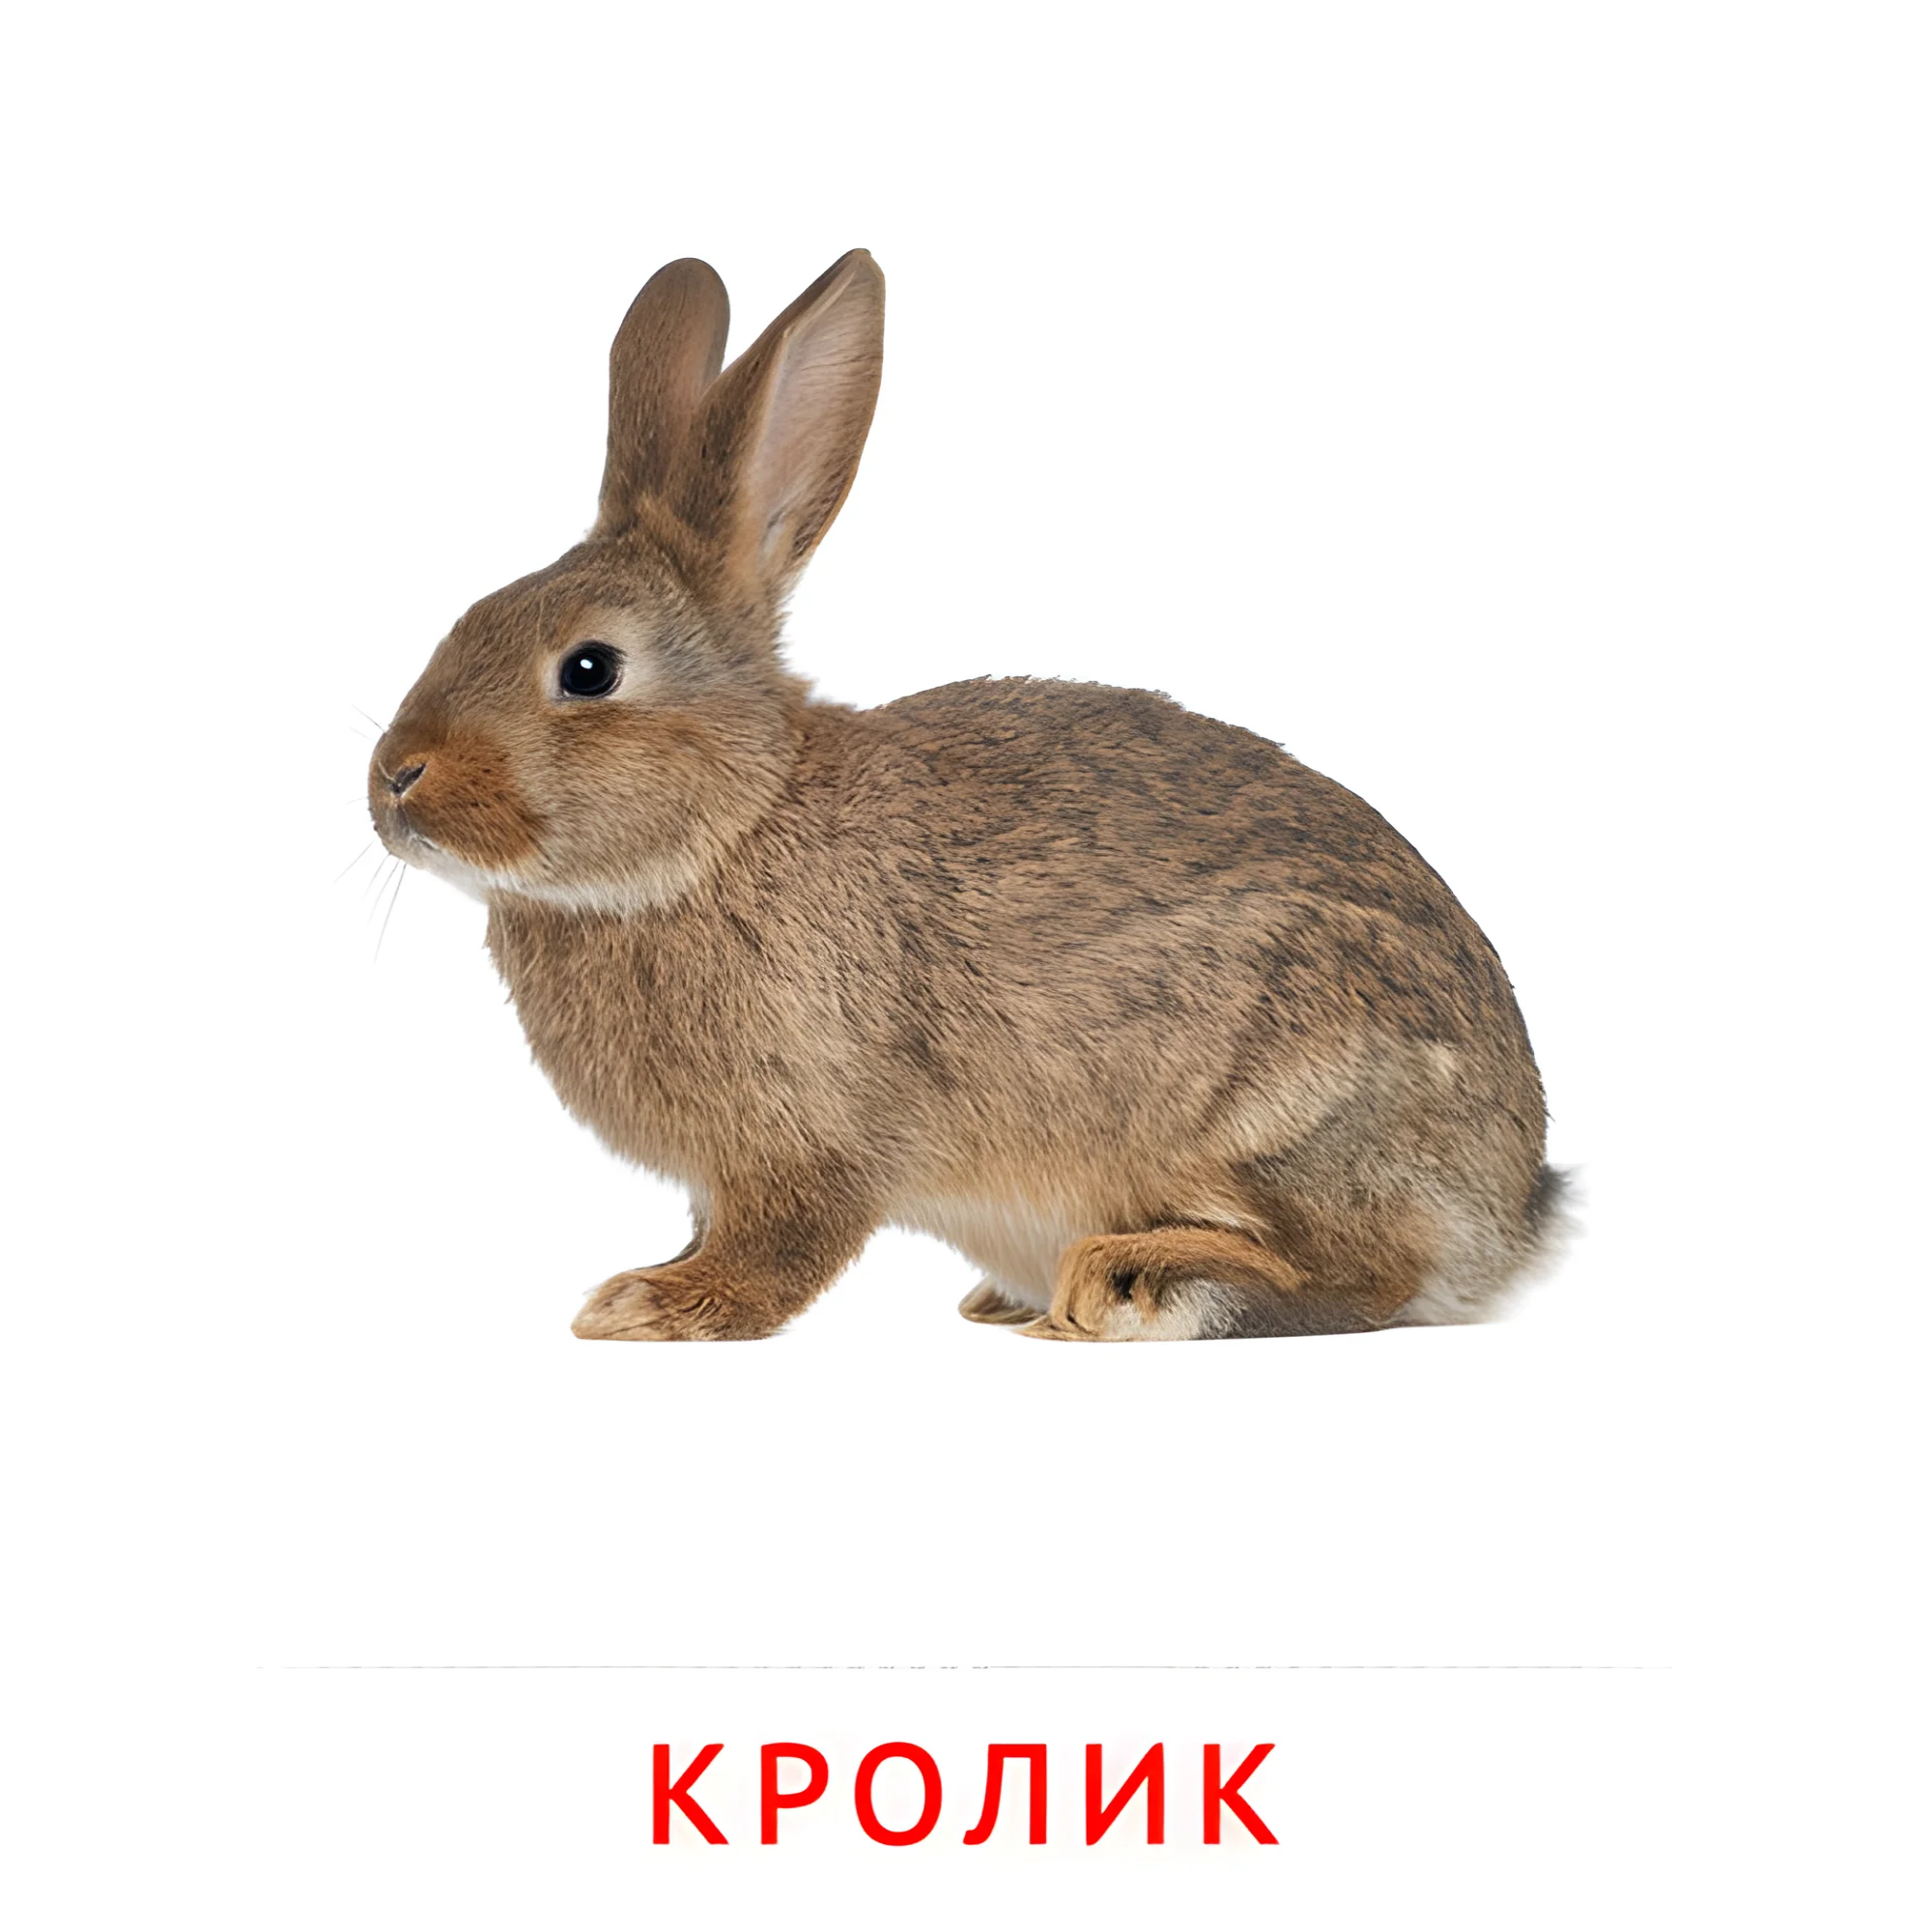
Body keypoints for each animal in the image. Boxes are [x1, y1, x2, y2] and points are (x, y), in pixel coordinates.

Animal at [368, 249, 1562, 1342]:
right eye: (469, 614)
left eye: (588, 670)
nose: (392, 780)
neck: (728, 828)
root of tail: (1512, 1208)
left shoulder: (809, 1138)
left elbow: (779, 1245)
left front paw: (654, 1304)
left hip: (1280, 1102)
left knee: (1367, 1279)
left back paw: (1137, 1279)